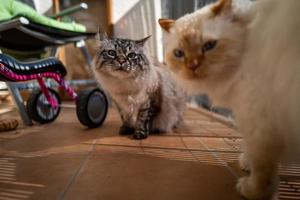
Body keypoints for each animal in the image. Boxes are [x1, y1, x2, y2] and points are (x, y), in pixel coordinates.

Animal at [159, 0, 300, 199]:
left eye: (209, 45)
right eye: (179, 54)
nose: (192, 66)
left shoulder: (259, 121)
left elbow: (262, 169)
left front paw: (253, 191)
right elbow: (250, 151)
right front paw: (246, 163)